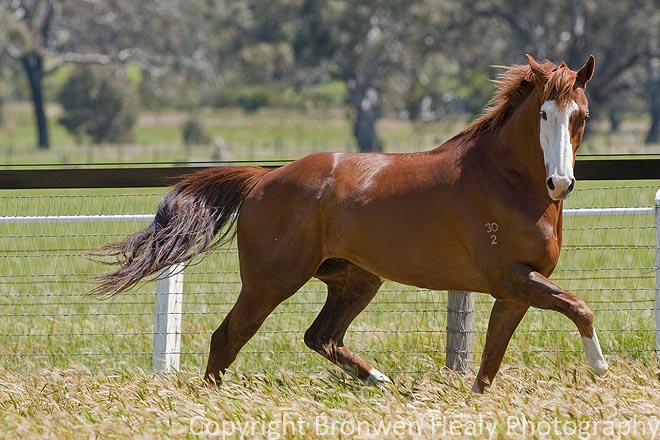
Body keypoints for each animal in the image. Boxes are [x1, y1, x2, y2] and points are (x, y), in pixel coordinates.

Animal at [94, 54, 607, 393]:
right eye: (543, 113)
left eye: (580, 115)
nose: (560, 182)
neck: (505, 180)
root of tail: (264, 179)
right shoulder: (512, 278)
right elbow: (580, 308)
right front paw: (601, 369)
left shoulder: (515, 289)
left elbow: (489, 364)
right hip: (270, 282)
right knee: (228, 338)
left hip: (356, 279)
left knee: (320, 335)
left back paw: (377, 379)